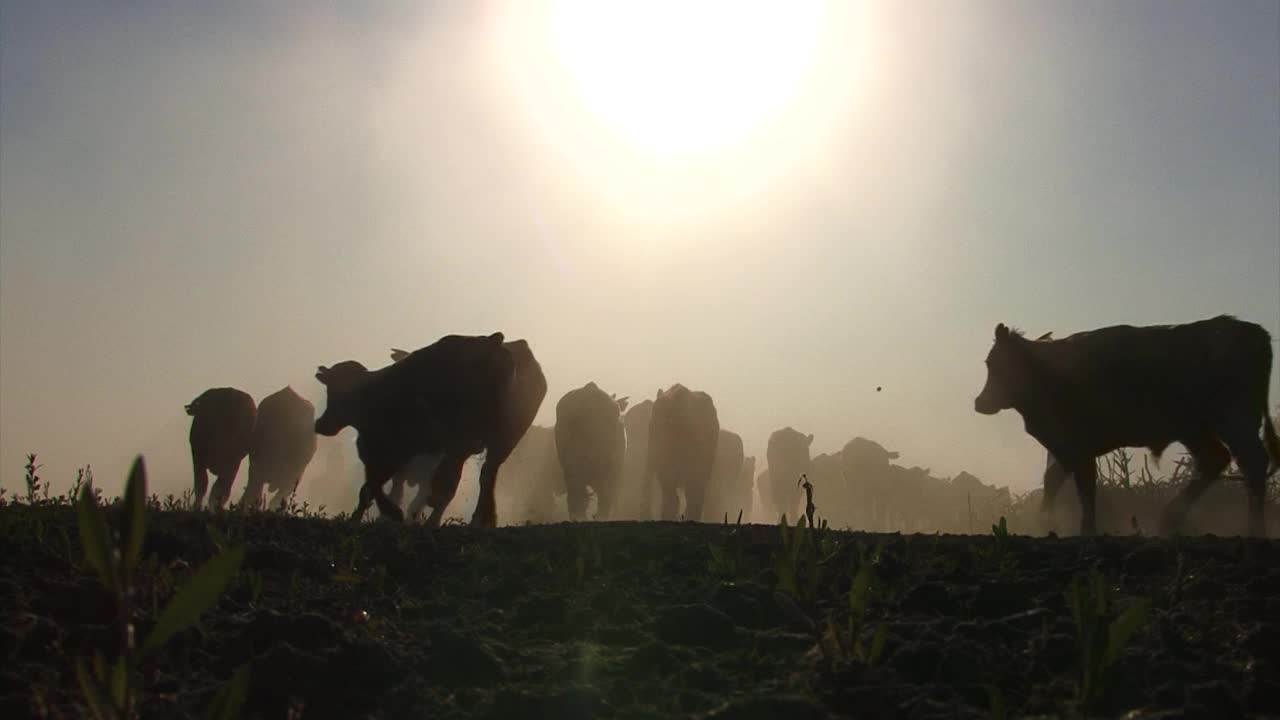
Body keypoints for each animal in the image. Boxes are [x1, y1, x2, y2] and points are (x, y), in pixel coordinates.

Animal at [316, 333, 550, 527]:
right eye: (330, 388)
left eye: (334, 392)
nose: (321, 424)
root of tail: (495, 341)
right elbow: (372, 487)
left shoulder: (393, 452)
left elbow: (374, 487)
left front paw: (392, 513)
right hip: (492, 440)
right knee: (483, 475)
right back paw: (477, 518)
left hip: (483, 440)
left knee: (459, 480)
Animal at [972, 316, 1274, 535]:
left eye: (995, 363)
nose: (980, 402)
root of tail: (1256, 333)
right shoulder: (1066, 447)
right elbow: (1053, 480)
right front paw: (1044, 522)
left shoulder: (1078, 446)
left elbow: (1084, 489)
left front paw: (1086, 529)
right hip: (1195, 429)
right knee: (1215, 460)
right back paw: (1170, 519)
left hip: (1233, 419)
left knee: (1252, 461)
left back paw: (1255, 529)